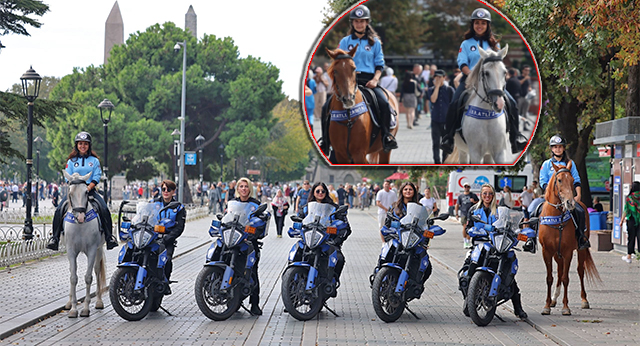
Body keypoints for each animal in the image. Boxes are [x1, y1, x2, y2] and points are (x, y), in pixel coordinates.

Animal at [62, 169, 106, 318]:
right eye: (70, 193)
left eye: (86, 192)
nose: (81, 217)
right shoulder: (71, 251)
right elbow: (73, 277)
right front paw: (73, 308)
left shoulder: (92, 250)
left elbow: (88, 277)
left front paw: (86, 308)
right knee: (71, 271)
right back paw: (69, 302)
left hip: (99, 249)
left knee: (97, 270)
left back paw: (99, 301)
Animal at [540, 161, 600, 314]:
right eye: (559, 180)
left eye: (573, 180)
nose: (570, 203)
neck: (557, 220)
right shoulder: (547, 252)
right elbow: (549, 278)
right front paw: (546, 306)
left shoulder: (567, 252)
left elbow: (566, 278)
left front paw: (566, 307)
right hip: (557, 254)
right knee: (560, 271)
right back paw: (554, 299)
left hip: (580, 250)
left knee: (580, 271)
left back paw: (584, 300)